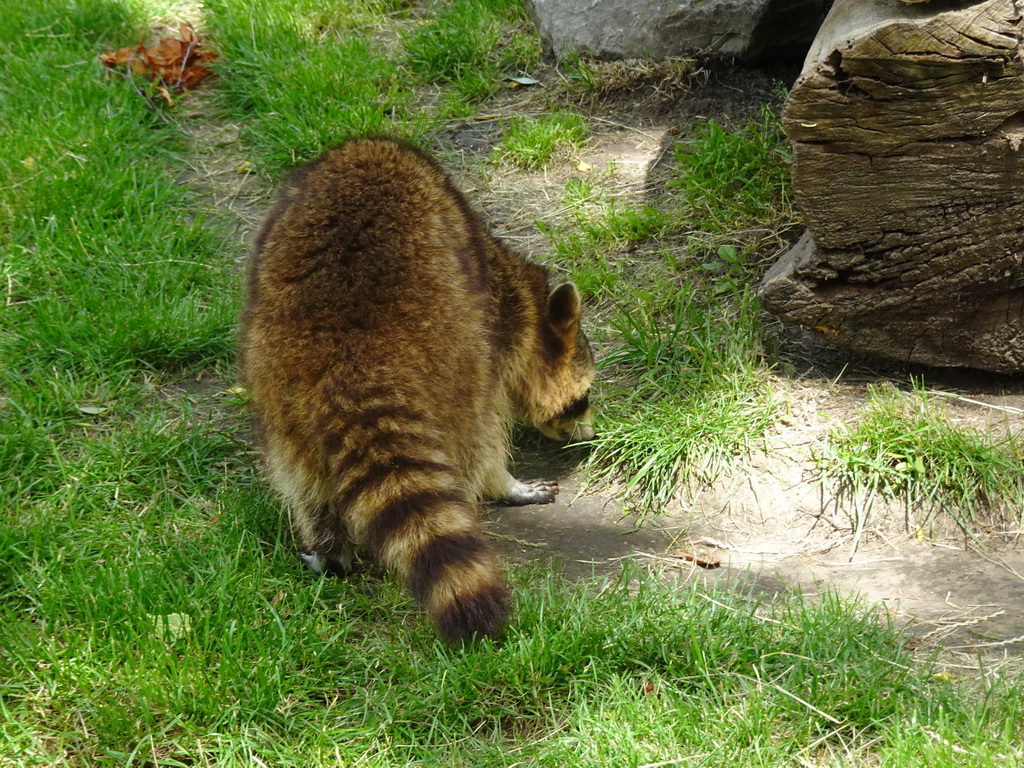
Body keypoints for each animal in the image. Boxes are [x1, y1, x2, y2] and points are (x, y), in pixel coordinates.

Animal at [238, 138, 598, 643]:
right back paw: (499, 482)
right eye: (581, 399)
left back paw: (329, 548)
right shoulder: (493, 321)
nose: (591, 433)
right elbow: (490, 422)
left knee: (302, 476)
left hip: (275, 381)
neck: (517, 286)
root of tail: (347, 352)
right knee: (477, 431)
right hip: (458, 352)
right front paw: (505, 480)